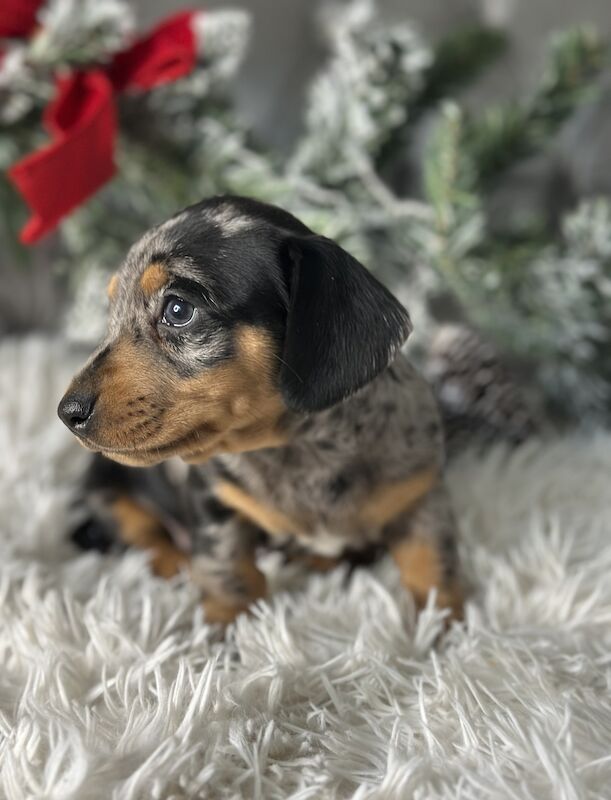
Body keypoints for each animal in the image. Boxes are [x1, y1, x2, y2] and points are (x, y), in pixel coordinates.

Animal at [61, 195, 464, 624]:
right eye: (112, 311)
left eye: (178, 310)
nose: (67, 413)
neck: (298, 447)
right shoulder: (214, 500)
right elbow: (227, 567)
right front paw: (224, 624)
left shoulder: (420, 494)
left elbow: (430, 564)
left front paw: (443, 624)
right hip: (107, 491)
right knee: (145, 535)